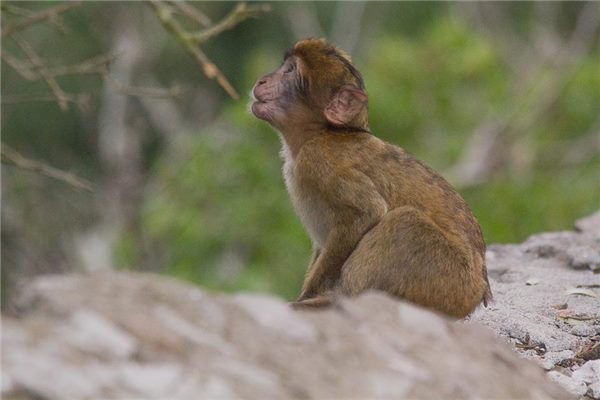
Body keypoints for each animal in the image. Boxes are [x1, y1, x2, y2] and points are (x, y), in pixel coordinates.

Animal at [251, 38, 490, 318]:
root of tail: (477, 293)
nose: (262, 81)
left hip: (449, 281)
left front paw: (308, 296)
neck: (323, 132)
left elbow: (365, 213)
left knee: (405, 222)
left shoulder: (318, 158)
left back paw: (339, 301)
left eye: (289, 70)